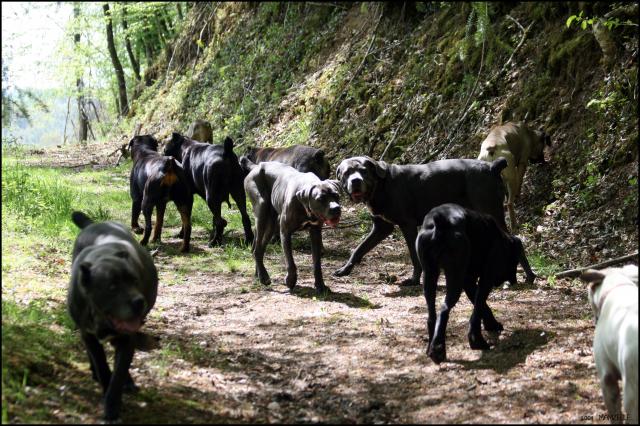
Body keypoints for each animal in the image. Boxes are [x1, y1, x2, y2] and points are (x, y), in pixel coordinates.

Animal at [68, 211, 159, 422]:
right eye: (112, 287)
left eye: (134, 280)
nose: (139, 302)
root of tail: (93, 224)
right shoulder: (88, 335)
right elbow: (102, 365)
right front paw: (104, 386)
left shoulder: (126, 339)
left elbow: (119, 374)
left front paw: (112, 406)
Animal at [240, 158, 340, 294]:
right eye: (320, 199)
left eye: (336, 195)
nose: (336, 209)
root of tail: (256, 166)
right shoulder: (285, 232)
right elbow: (290, 261)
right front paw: (291, 281)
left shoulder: (315, 233)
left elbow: (317, 263)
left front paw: (320, 285)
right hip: (262, 212)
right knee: (257, 249)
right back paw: (264, 277)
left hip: (271, 224)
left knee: (259, 247)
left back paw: (259, 275)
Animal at [332, 156, 536, 286]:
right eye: (346, 173)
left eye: (363, 171)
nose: (355, 181)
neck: (380, 186)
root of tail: (493, 166)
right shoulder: (382, 227)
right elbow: (359, 249)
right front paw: (344, 269)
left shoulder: (407, 225)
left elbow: (414, 256)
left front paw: (414, 280)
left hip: (490, 211)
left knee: (514, 240)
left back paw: (525, 276)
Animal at [416, 205, 524, 364]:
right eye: (515, 262)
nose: (513, 281)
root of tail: (441, 220)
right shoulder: (486, 277)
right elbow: (479, 306)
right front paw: (477, 340)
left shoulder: (468, 281)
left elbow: (482, 305)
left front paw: (491, 324)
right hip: (454, 278)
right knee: (444, 309)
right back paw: (439, 350)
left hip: (429, 275)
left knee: (432, 314)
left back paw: (432, 345)